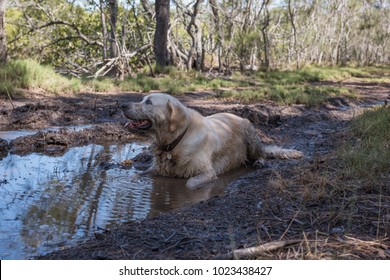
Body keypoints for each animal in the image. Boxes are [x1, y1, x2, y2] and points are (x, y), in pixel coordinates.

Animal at [122, 93, 302, 187]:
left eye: (149, 102)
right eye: (142, 99)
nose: (123, 105)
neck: (174, 142)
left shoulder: (208, 172)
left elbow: (189, 183)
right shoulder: (156, 168)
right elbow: (136, 175)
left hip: (250, 133)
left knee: (261, 154)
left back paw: (259, 162)